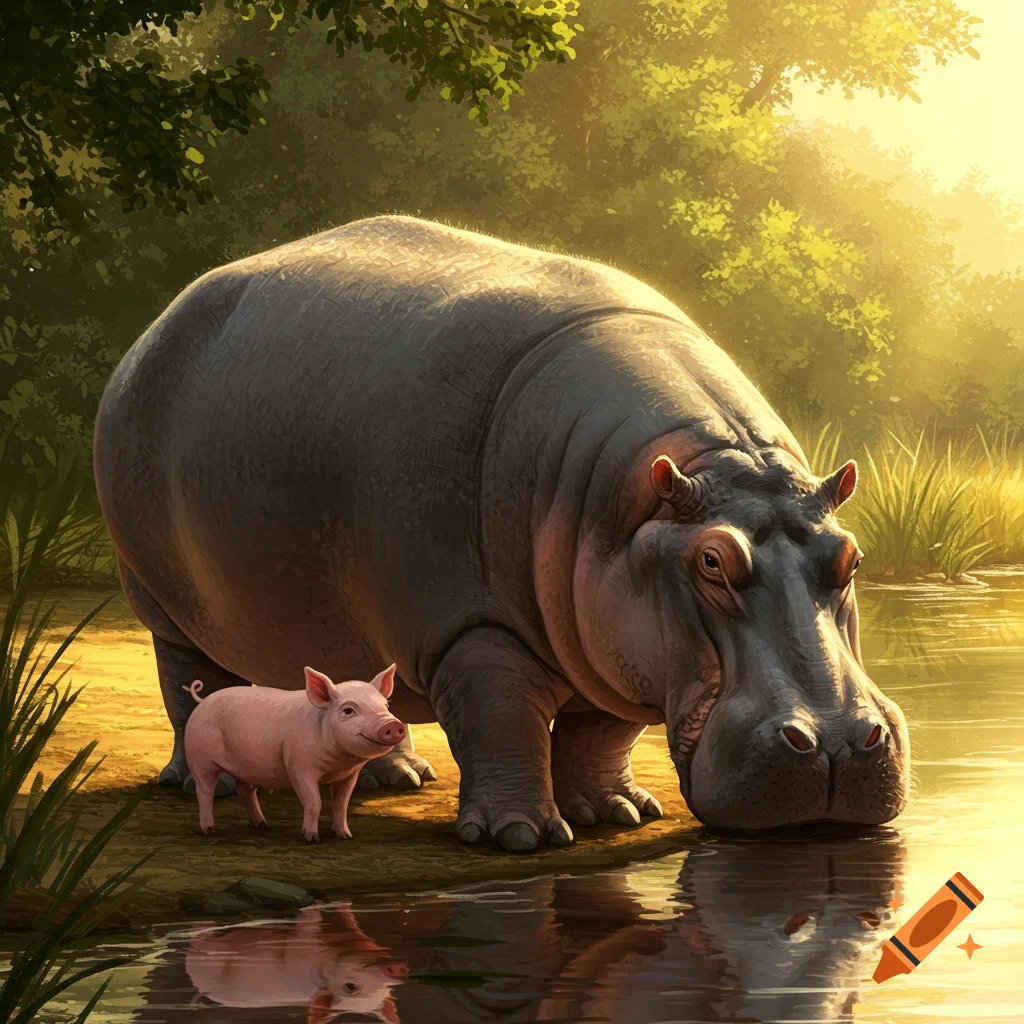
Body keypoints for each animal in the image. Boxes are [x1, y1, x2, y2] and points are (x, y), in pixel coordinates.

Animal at [183, 663, 405, 842]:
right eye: (348, 710)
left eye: (386, 705)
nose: (393, 724)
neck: (338, 762)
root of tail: (202, 701)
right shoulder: (299, 767)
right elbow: (314, 802)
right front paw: (311, 838)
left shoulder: (349, 775)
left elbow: (341, 804)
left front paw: (345, 836)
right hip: (199, 759)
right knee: (204, 792)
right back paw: (209, 830)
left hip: (245, 767)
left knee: (244, 790)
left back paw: (263, 824)